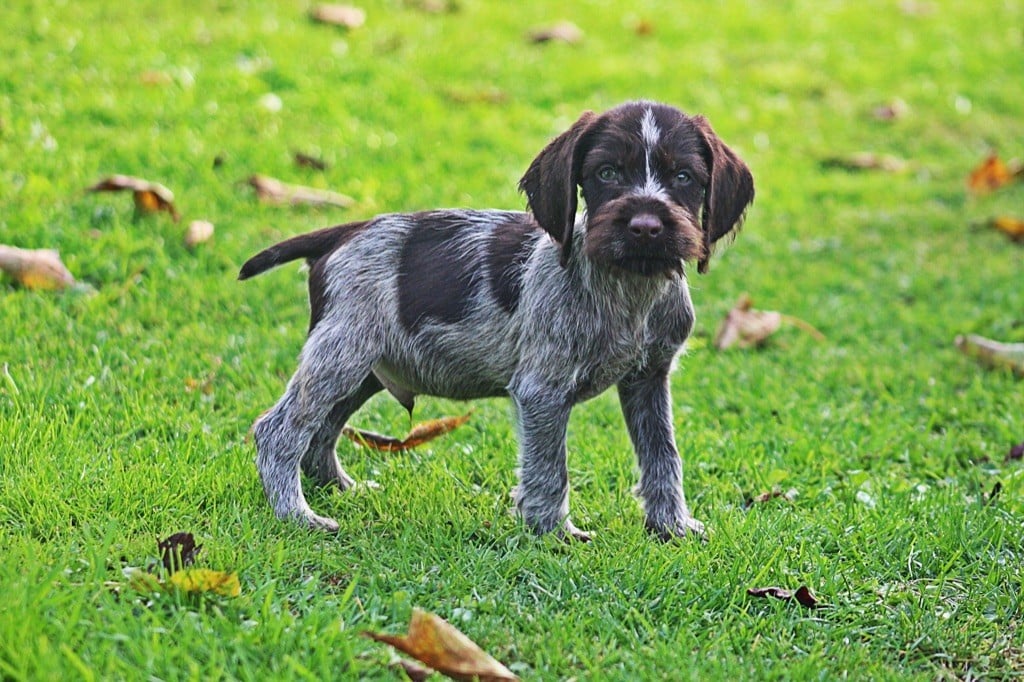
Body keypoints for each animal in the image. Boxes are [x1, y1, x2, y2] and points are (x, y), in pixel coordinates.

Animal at [239, 100, 753, 540]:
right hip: (342, 355)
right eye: (607, 173)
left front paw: (672, 527)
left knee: (322, 433)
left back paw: (340, 490)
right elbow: (548, 468)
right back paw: (296, 514)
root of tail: (345, 231)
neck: (629, 288)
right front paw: (552, 533)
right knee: (280, 431)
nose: (646, 226)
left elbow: (663, 456)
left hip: (366, 368)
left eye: (684, 176)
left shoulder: (648, 379)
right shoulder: (543, 390)